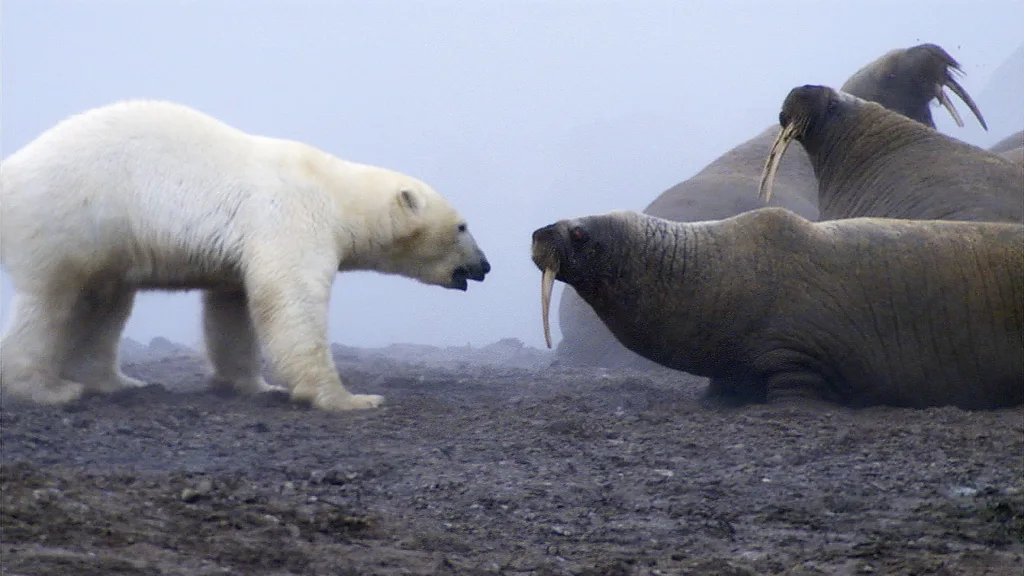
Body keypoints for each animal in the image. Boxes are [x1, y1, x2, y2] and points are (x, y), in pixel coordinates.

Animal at [0, 99, 490, 412]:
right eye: (462, 226)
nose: (485, 266)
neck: (336, 192)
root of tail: (12, 168)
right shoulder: (293, 216)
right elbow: (292, 300)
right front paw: (349, 398)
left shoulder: (246, 250)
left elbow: (232, 308)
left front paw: (253, 386)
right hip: (72, 216)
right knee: (53, 300)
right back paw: (47, 388)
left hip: (106, 240)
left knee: (106, 303)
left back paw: (118, 381)